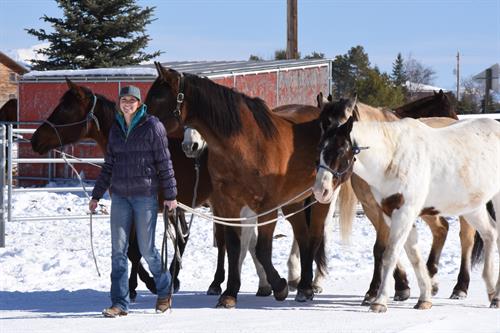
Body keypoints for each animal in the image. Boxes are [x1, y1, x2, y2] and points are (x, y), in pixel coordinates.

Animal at [145, 63, 332, 308]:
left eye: (158, 99)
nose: (138, 124)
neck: (246, 145)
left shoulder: (266, 206)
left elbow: (261, 249)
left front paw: (279, 286)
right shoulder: (228, 204)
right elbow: (233, 246)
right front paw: (230, 292)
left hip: (320, 199)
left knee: (314, 236)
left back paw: (308, 286)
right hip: (294, 201)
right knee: (302, 236)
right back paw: (302, 286)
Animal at [314, 114, 498, 312]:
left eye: (340, 150)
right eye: (320, 148)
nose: (320, 191)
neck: (392, 157)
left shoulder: (404, 213)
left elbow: (390, 255)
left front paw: (379, 301)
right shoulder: (391, 214)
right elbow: (414, 257)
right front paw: (424, 298)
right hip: (473, 207)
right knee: (490, 234)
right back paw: (492, 293)